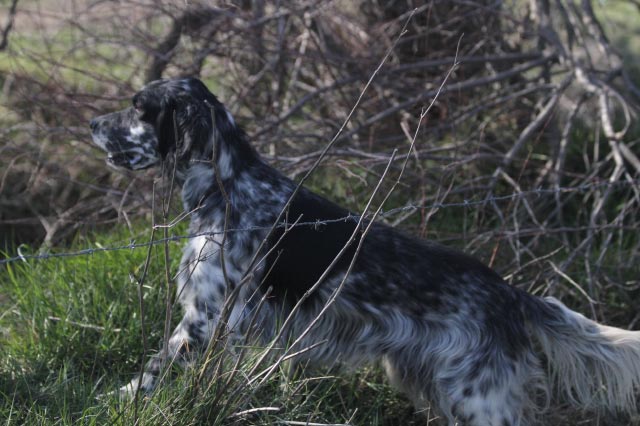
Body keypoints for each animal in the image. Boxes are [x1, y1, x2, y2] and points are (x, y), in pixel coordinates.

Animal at [91, 78, 640, 424]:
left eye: (139, 108)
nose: (93, 125)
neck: (228, 188)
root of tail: (510, 295)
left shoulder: (203, 321)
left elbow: (150, 373)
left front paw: (115, 402)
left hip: (482, 400)